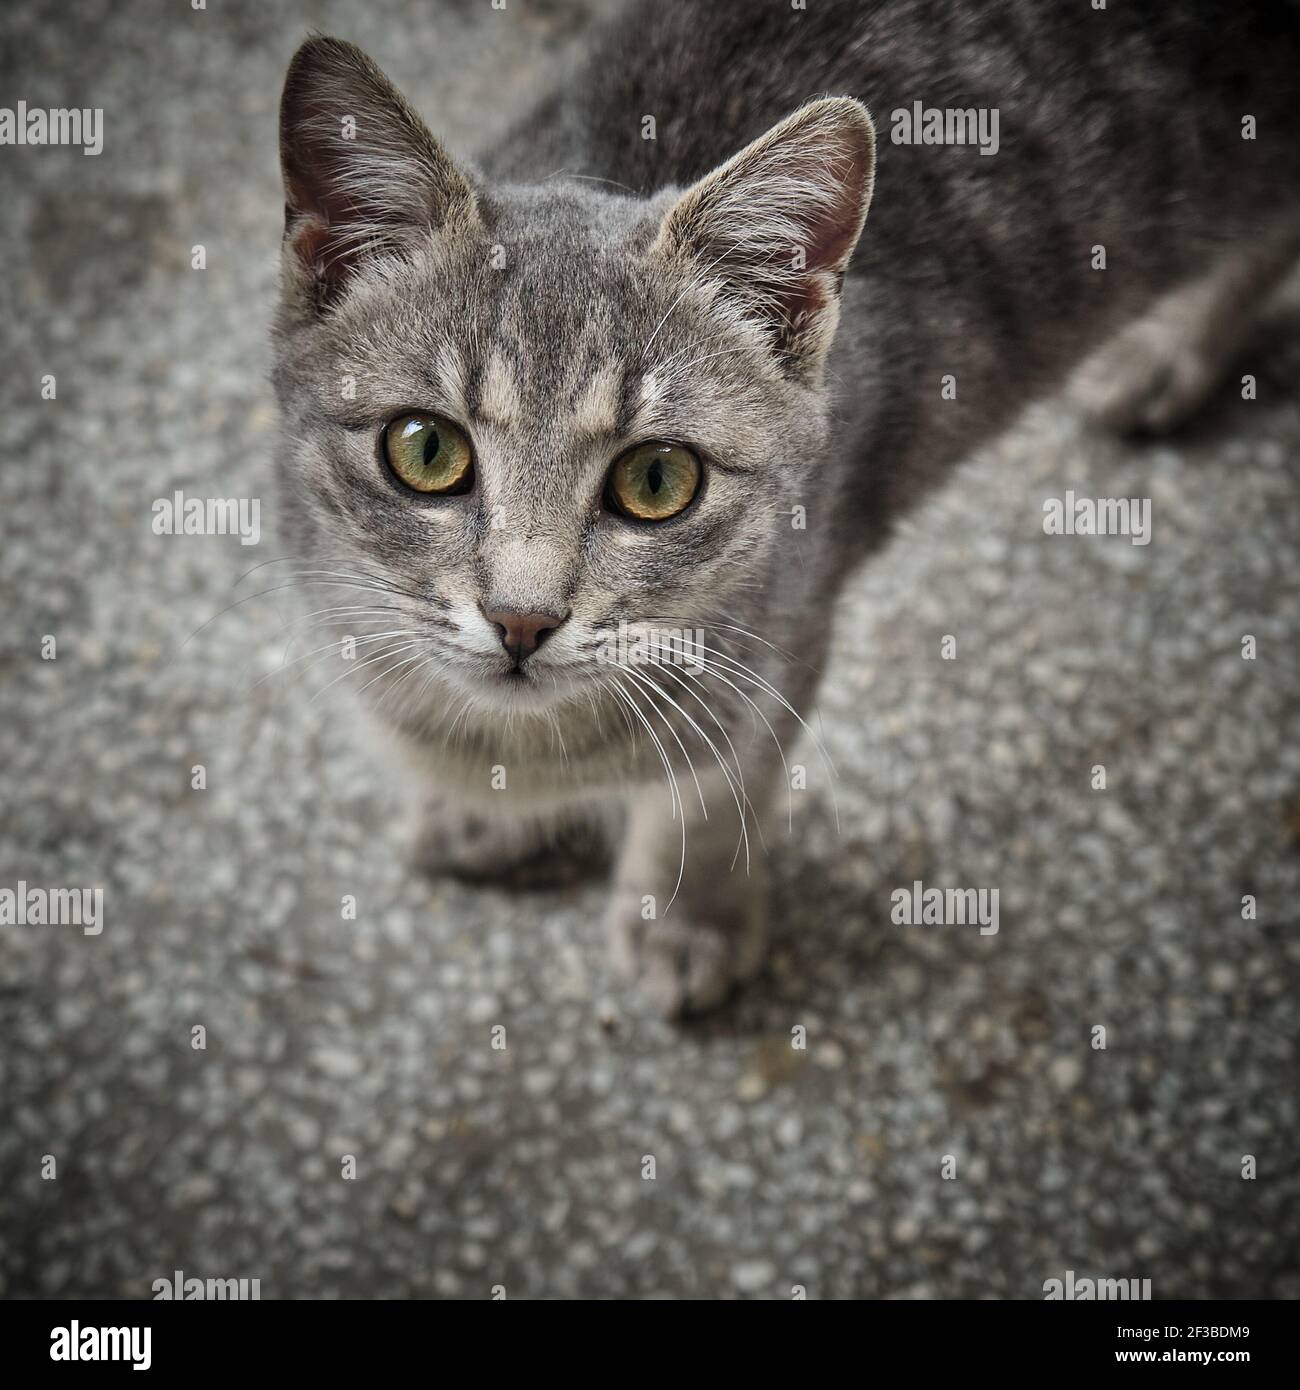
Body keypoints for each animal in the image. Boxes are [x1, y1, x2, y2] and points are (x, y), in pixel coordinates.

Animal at [269, 2, 1295, 1023]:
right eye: (425, 450)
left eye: (657, 479)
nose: (522, 619)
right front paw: (488, 811)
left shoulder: (783, 650)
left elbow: (711, 798)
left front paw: (688, 922)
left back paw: (1172, 350)